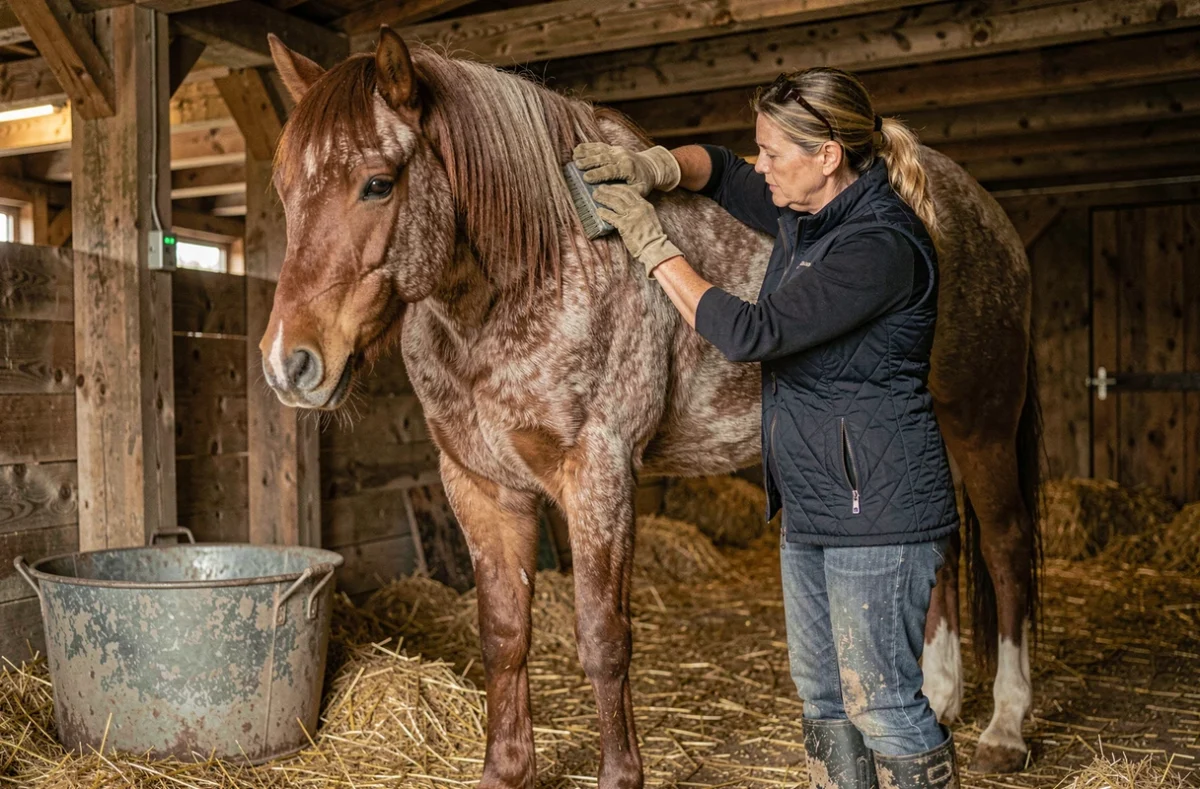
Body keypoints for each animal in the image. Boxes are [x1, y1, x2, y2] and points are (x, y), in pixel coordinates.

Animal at [260, 28, 1041, 787]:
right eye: (285, 189)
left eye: (378, 183)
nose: (289, 363)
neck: (532, 274)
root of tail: (980, 212)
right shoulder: (481, 484)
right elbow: (504, 636)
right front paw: (506, 770)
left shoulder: (600, 475)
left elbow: (603, 638)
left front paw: (619, 772)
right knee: (938, 549)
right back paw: (940, 697)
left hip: (980, 424)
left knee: (1003, 553)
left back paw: (1004, 728)